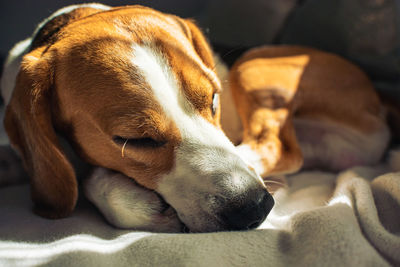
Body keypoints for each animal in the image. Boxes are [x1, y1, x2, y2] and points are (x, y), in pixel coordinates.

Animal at [0, 3, 390, 233]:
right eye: (135, 139)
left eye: (214, 97)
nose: (255, 208)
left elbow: (94, 180)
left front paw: (111, 186)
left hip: (253, 65)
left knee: (281, 149)